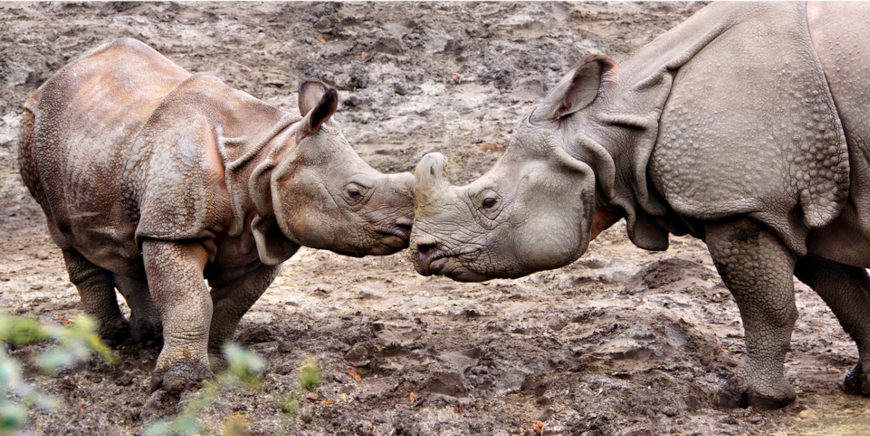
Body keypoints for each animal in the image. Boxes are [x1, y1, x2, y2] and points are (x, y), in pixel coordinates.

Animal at [18, 38, 414, 393]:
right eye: (354, 192)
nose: (406, 227)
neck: (268, 159)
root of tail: (55, 77)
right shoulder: (175, 228)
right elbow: (190, 299)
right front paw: (180, 383)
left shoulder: (261, 235)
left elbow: (230, 305)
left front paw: (217, 365)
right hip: (33, 132)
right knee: (65, 233)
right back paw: (104, 344)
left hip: (107, 142)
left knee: (129, 238)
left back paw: (148, 336)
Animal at [410, 2, 870, 409]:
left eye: (488, 201)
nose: (422, 252)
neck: (614, 124)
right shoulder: (798, 204)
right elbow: (848, 298)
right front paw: (862, 386)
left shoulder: (743, 203)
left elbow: (767, 307)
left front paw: (748, 399)